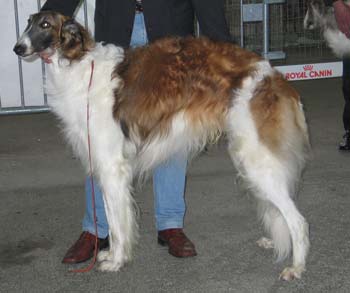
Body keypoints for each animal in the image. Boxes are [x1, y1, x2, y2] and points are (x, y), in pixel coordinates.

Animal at [13, 11, 308, 280]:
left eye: (45, 24)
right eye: (28, 23)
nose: (18, 48)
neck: (77, 65)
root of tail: (275, 76)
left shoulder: (112, 167)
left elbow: (118, 223)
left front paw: (117, 261)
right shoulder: (102, 163)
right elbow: (111, 216)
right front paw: (110, 254)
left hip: (255, 158)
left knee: (298, 220)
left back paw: (296, 267)